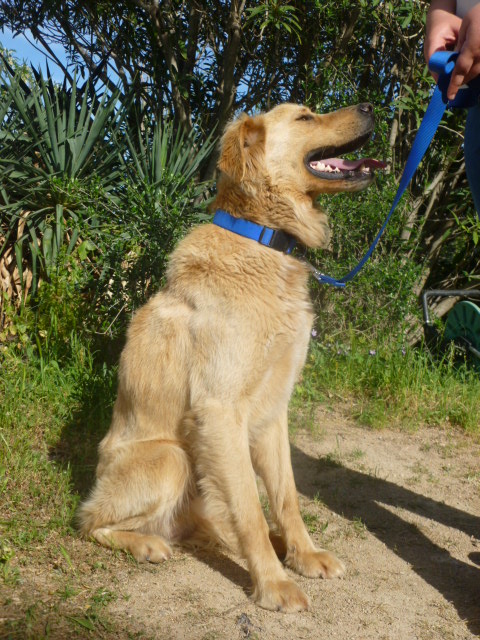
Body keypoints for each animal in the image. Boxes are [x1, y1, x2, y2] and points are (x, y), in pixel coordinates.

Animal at [79, 101, 382, 608]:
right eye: (305, 117)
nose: (369, 106)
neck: (261, 239)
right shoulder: (220, 410)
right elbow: (252, 510)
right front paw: (274, 584)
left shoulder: (273, 410)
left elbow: (284, 498)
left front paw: (303, 555)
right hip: (172, 458)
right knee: (91, 523)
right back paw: (146, 544)